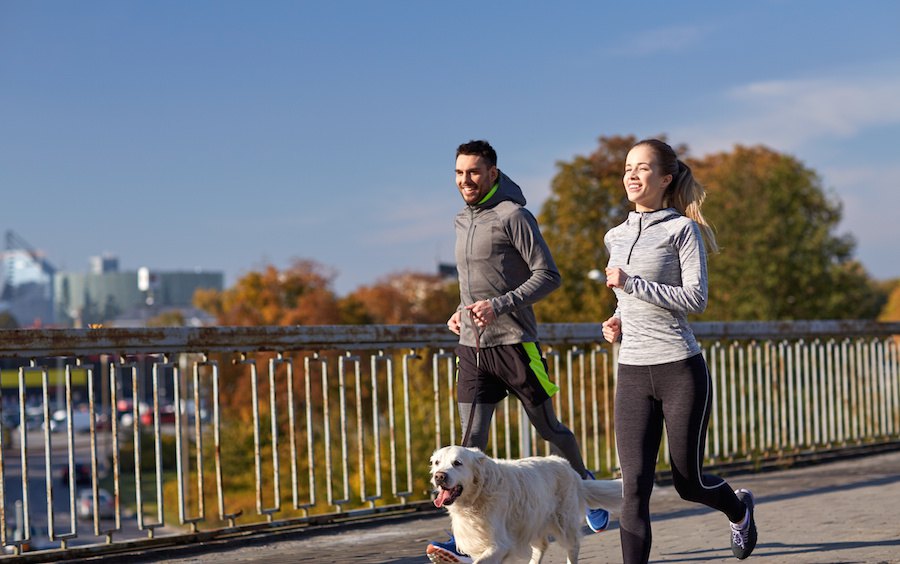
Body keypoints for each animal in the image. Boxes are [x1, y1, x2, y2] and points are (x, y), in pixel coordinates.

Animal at [428, 446, 620, 564]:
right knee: (542, 545)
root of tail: (568, 467)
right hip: (530, 521)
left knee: (572, 547)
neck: (478, 495)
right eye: (437, 462)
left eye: (457, 463)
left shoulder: (500, 544)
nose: (439, 476)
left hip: (564, 523)